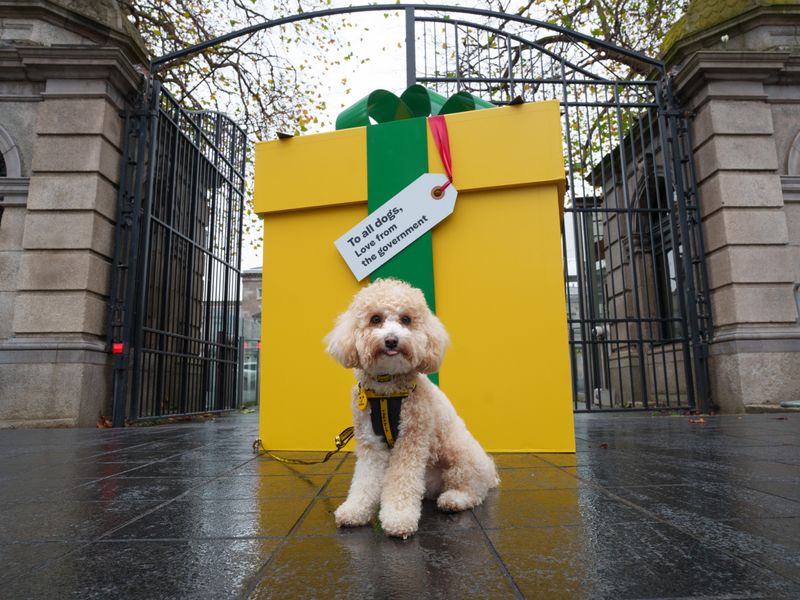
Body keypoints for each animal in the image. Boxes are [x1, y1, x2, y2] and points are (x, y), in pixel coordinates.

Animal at [322, 278, 496, 540]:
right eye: (375, 319)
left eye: (406, 319)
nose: (392, 340)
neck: (387, 389)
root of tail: (491, 472)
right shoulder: (371, 443)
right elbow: (364, 481)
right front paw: (355, 511)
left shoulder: (411, 441)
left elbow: (401, 482)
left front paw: (398, 518)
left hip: (460, 457)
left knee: (474, 490)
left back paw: (454, 499)